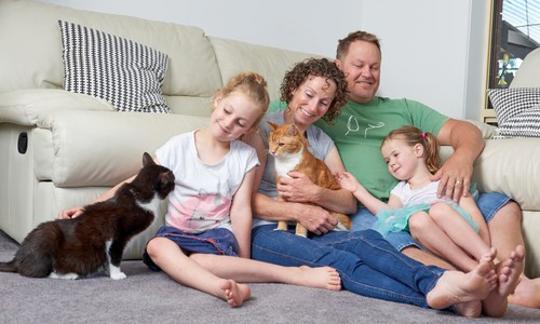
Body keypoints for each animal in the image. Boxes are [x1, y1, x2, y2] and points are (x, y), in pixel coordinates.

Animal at [0, 153, 174, 280]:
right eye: (172, 180)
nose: (175, 180)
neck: (138, 192)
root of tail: (16, 259)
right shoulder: (117, 237)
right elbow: (115, 255)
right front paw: (116, 275)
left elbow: (108, 257)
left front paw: (108, 271)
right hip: (48, 236)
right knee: (39, 272)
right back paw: (69, 274)